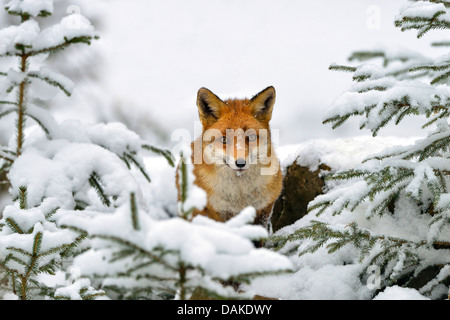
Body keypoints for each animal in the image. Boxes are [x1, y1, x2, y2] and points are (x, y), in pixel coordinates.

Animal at [179, 87, 282, 228]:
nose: (240, 163)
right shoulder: (217, 212)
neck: (240, 196)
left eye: (251, 137)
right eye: (224, 139)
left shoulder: (264, 210)